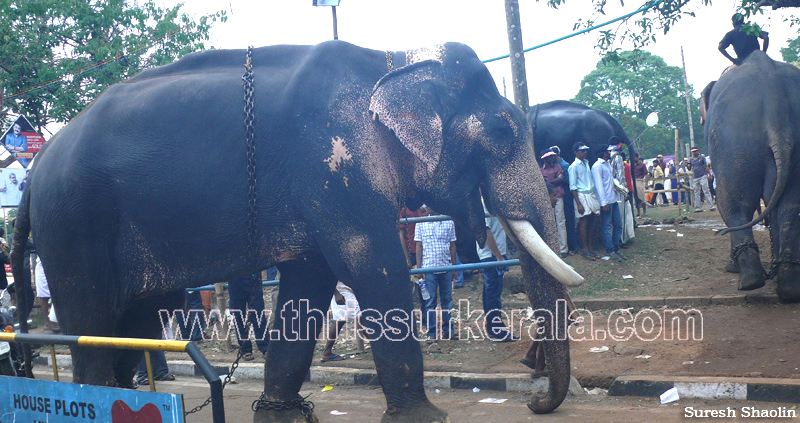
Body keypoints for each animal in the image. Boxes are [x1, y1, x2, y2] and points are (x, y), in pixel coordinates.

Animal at [10, 40, 580, 423]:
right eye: (504, 131)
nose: (535, 401)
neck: (391, 62)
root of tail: (35, 172)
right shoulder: (334, 165)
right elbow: (371, 266)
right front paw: (425, 419)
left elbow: (311, 281)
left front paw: (281, 414)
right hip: (74, 225)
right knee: (92, 319)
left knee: (136, 318)